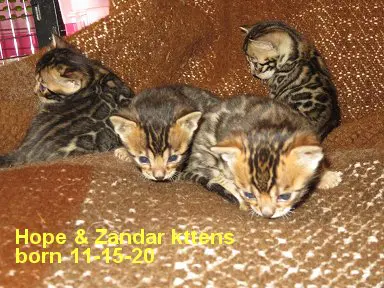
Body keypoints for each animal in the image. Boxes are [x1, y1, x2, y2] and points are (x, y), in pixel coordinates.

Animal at [184, 94, 342, 218]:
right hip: (205, 157)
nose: (267, 214)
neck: (271, 128)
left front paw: (327, 176)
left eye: (284, 196)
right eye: (250, 195)